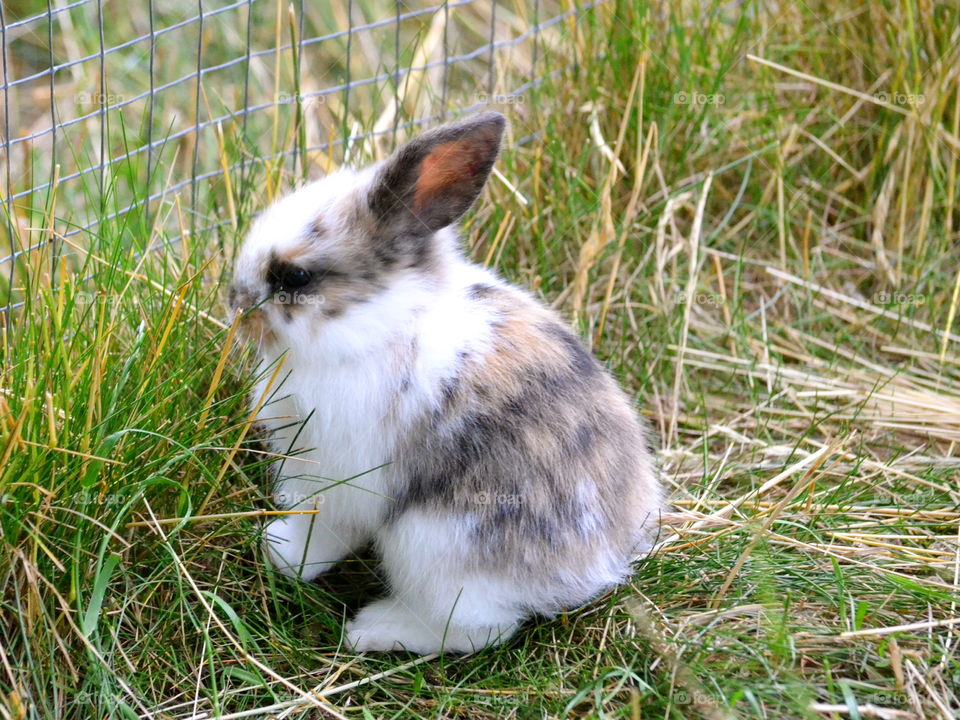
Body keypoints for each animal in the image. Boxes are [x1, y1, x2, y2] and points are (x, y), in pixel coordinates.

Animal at [228, 111, 662, 655]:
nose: (234, 303)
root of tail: (599, 566)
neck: (378, 325)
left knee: (480, 628)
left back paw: (374, 629)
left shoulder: (343, 477)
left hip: (435, 544)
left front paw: (281, 552)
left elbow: (326, 528)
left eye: (296, 278)